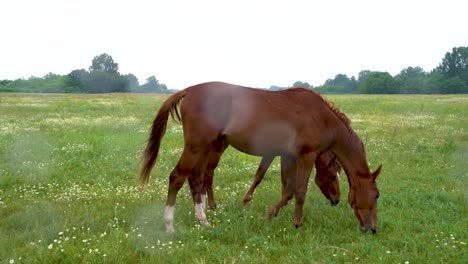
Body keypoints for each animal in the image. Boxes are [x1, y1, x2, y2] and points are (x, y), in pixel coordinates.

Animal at [200, 148, 340, 210]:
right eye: (333, 176)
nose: (337, 200)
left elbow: (284, 179)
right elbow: (260, 174)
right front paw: (246, 200)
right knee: (209, 172)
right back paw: (211, 205)